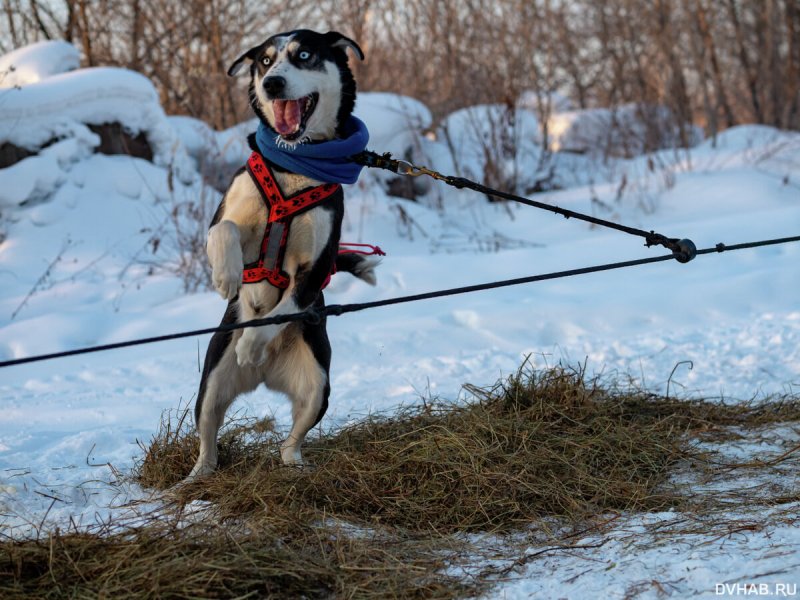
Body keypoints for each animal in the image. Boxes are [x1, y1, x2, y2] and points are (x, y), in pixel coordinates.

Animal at [188, 29, 378, 482]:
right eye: (264, 61)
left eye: (304, 55)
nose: (273, 83)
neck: (295, 168)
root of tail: (265, 375)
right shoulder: (228, 214)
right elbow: (223, 230)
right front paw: (226, 274)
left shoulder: (313, 269)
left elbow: (282, 307)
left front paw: (254, 341)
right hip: (211, 381)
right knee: (208, 440)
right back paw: (194, 477)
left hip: (318, 385)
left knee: (289, 441)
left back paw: (296, 464)